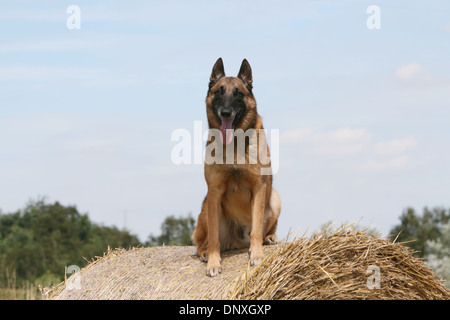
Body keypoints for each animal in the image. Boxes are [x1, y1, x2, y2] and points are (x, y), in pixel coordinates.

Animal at [192, 58, 282, 278]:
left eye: (239, 93)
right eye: (219, 92)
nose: (226, 112)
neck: (234, 145)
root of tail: (237, 241)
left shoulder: (259, 187)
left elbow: (257, 229)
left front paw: (257, 254)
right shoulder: (214, 191)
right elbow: (214, 237)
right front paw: (213, 263)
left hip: (275, 198)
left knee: (263, 230)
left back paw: (270, 238)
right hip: (207, 207)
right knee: (202, 241)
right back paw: (204, 252)